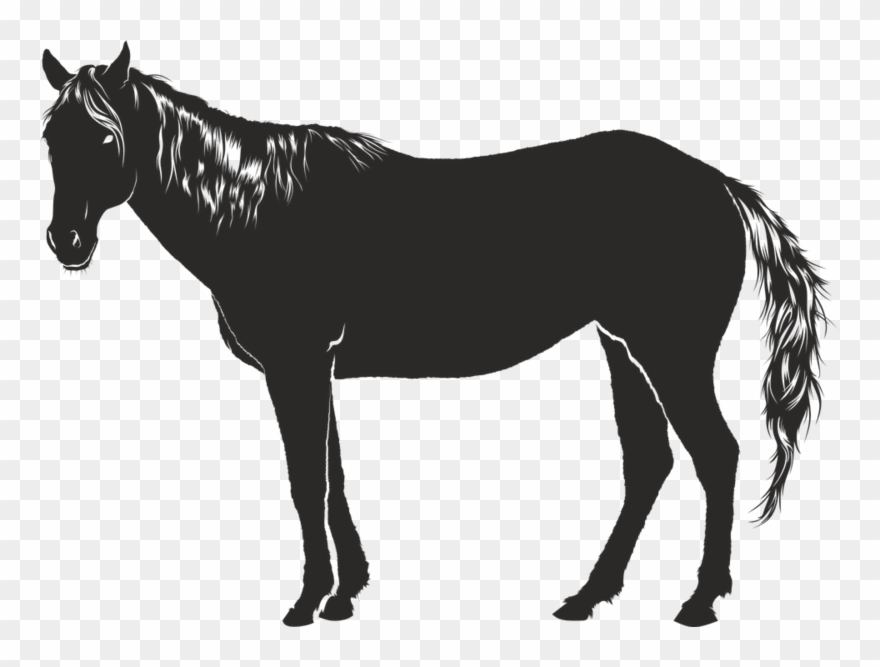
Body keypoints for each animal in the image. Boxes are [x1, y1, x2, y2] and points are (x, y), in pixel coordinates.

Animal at [41, 44, 828, 628]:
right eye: (50, 138)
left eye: (104, 136)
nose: (66, 241)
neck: (260, 209)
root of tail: (721, 185)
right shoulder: (319, 368)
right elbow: (333, 476)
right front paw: (346, 593)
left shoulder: (297, 363)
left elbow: (306, 479)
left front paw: (307, 600)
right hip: (623, 347)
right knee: (650, 463)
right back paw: (587, 597)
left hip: (670, 352)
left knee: (714, 455)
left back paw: (699, 600)